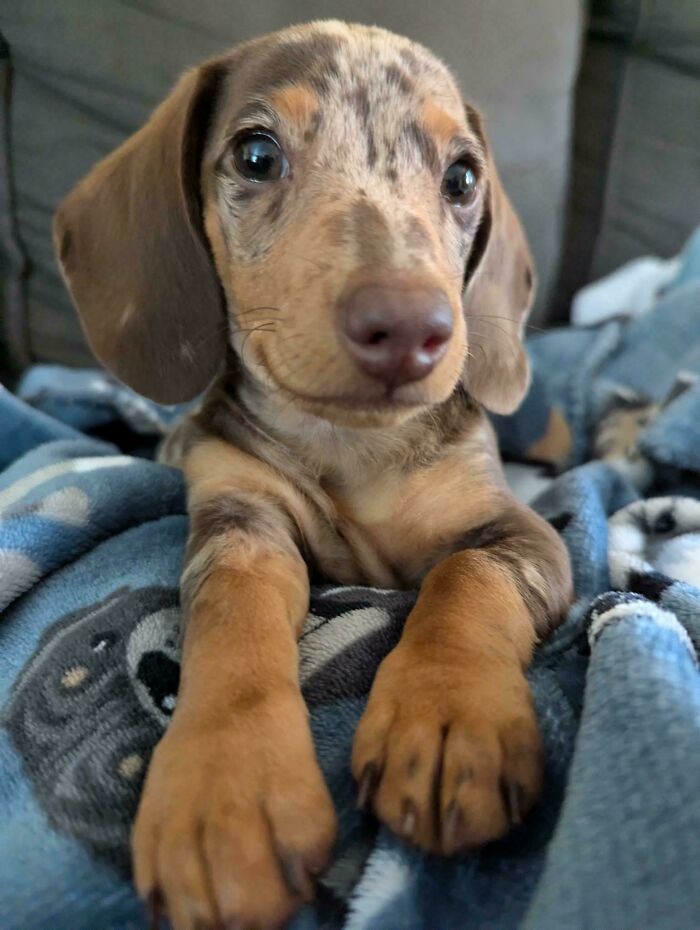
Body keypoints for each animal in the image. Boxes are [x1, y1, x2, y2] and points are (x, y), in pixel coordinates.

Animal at [54, 20, 568, 928]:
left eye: (463, 176)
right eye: (256, 154)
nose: (410, 328)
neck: (349, 448)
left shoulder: (523, 533)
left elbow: (468, 573)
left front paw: (449, 712)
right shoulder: (238, 521)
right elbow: (234, 609)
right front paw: (225, 782)